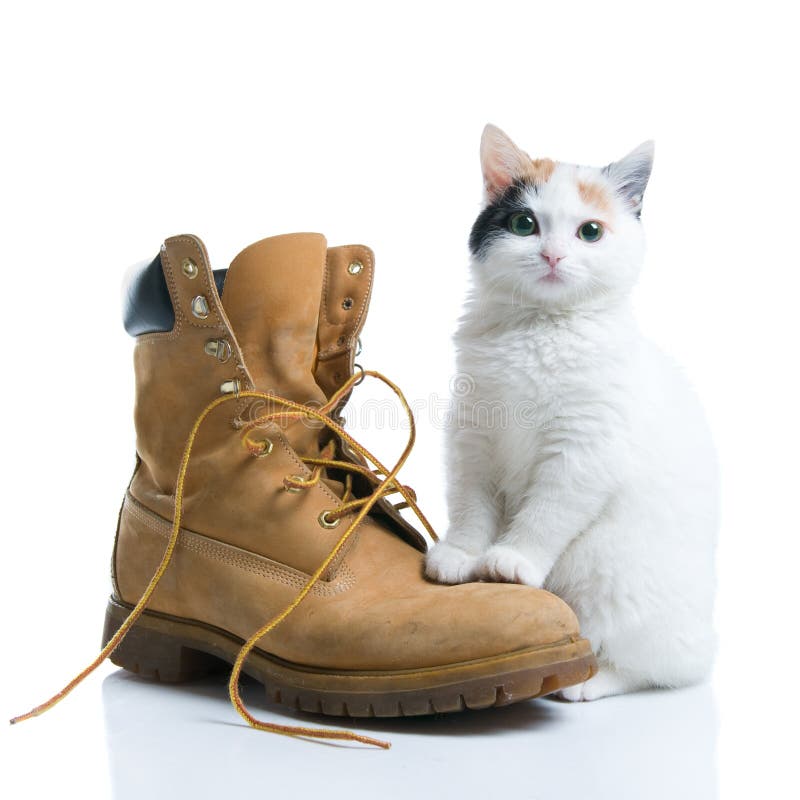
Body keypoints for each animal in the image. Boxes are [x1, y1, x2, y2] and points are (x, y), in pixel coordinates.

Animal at [424, 125, 720, 700]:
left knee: (654, 665)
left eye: (590, 232)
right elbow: (471, 502)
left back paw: (585, 680)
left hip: (615, 577)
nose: (554, 256)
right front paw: (462, 553)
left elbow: (548, 512)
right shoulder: (472, 434)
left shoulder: (584, 450)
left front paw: (513, 559)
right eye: (525, 224)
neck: (540, 328)